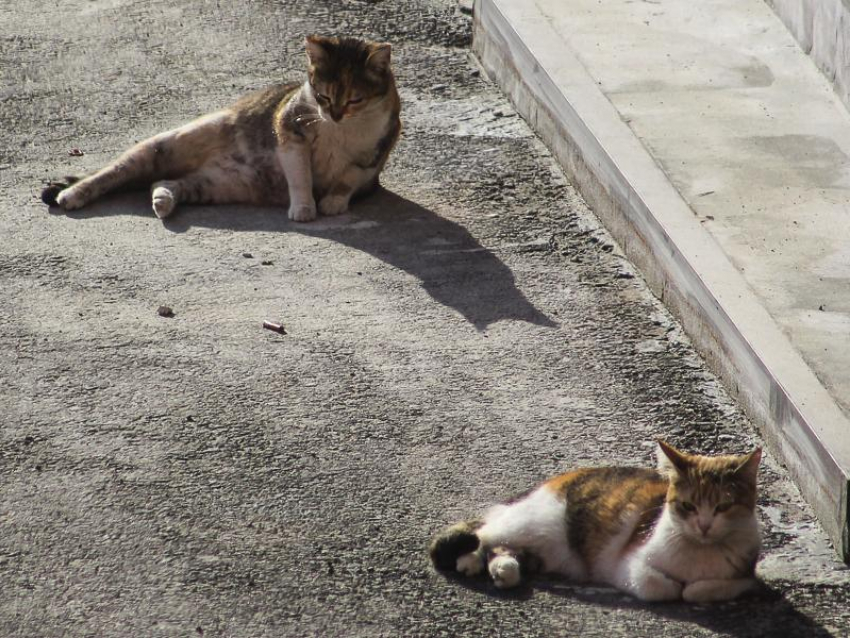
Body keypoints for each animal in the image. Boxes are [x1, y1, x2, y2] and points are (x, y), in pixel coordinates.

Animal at [44, 36, 402, 225]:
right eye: (323, 95)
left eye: (355, 99)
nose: (334, 114)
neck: (341, 129)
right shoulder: (288, 130)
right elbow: (300, 176)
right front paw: (303, 207)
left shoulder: (375, 153)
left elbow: (348, 179)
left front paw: (334, 202)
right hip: (162, 146)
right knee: (108, 174)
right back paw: (72, 194)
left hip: (213, 185)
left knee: (165, 182)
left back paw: (162, 200)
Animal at [430, 442, 760, 604]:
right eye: (688, 506)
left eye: (723, 507)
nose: (703, 526)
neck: (699, 552)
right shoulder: (627, 565)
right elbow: (661, 587)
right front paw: (674, 587)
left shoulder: (745, 576)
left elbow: (698, 590)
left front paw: (694, 588)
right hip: (533, 524)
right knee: (484, 532)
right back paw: (471, 559)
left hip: (546, 550)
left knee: (502, 546)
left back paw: (504, 568)